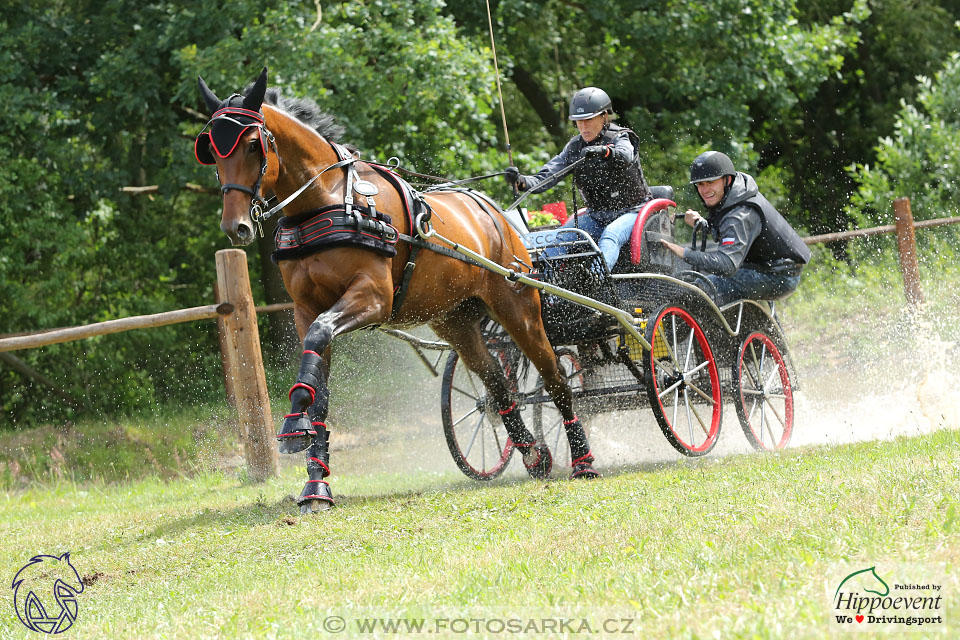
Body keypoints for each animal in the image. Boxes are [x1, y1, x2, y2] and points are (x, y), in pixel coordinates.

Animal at [195, 67, 600, 512]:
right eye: (211, 151)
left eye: (253, 144)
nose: (236, 227)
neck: (327, 200)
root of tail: (496, 214)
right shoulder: (306, 309)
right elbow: (318, 381)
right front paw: (316, 483)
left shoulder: (372, 298)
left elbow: (320, 341)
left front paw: (293, 420)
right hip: (456, 321)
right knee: (495, 383)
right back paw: (533, 453)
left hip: (518, 308)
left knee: (555, 378)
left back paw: (583, 461)